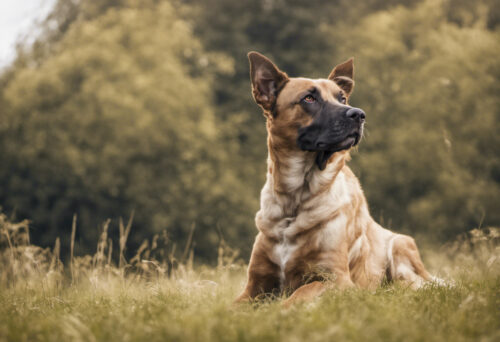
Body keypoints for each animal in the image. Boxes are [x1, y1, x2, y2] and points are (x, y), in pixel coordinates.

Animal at [236, 51, 436, 308]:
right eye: (309, 98)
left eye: (342, 98)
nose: (359, 114)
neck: (295, 199)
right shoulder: (254, 286)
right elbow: (232, 306)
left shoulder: (336, 279)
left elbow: (300, 293)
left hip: (401, 248)